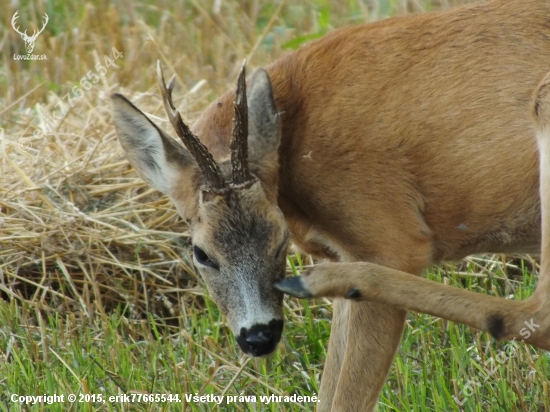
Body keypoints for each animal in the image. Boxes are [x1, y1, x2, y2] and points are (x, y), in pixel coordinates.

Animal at [111, 1, 550, 410]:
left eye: (279, 239)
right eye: (202, 254)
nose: (259, 336)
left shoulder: (389, 239)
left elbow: (345, 399)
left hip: (542, 110)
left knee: (538, 313)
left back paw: (315, 282)